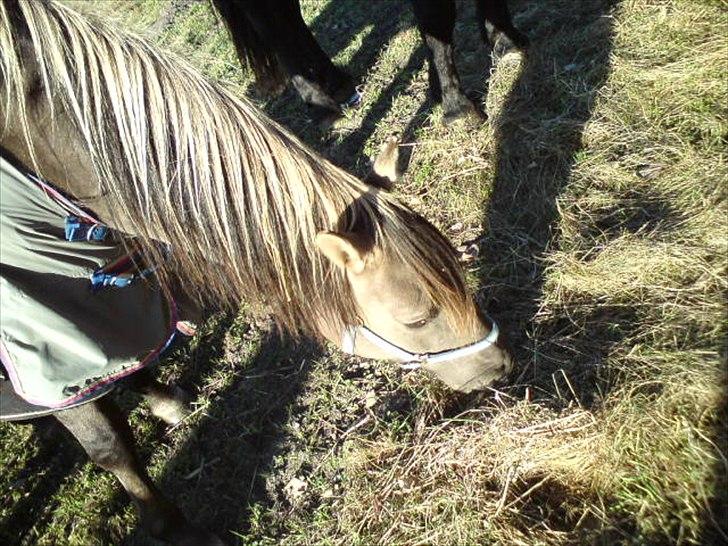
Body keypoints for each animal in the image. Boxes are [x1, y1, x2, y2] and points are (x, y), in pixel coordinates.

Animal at [210, 0, 528, 123]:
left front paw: (504, 39)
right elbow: (436, 16)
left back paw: (335, 85)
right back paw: (319, 100)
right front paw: (456, 105)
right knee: (268, 17)